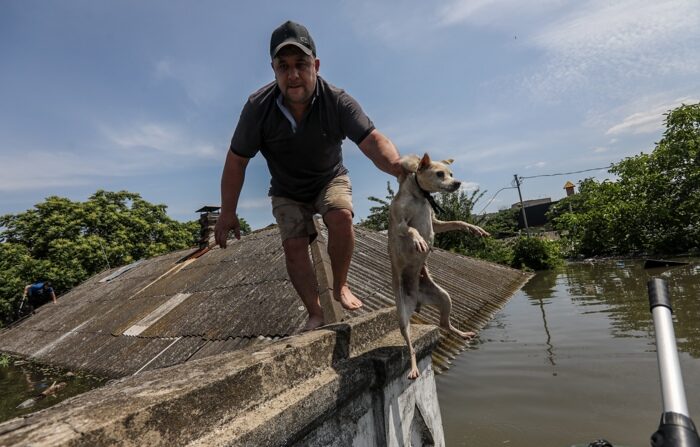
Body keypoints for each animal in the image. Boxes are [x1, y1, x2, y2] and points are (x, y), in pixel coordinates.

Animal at [388, 153, 492, 378]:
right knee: (410, 347)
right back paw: (414, 367)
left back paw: (463, 334)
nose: (458, 182)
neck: (420, 197)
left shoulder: (436, 223)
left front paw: (473, 228)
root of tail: (417, 299)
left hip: (444, 298)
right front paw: (419, 240)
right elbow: (411, 229)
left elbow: (457, 222)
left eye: (451, 173)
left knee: (444, 324)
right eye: (439, 174)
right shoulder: (400, 224)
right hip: (403, 317)